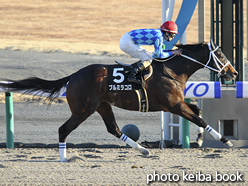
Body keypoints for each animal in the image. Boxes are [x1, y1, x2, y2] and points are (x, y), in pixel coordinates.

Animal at [0, 38, 238, 161]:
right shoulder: (173, 105)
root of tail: (73, 76)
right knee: (63, 129)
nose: (234, 73)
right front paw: (225, 140)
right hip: (83, 110)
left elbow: (197, 112)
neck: (172, 70)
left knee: (113, 129)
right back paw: (64, 157)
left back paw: (143, 149)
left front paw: (200, 139)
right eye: (220, 55)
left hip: (103, 106)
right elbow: (199, 118)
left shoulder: (176, 104)